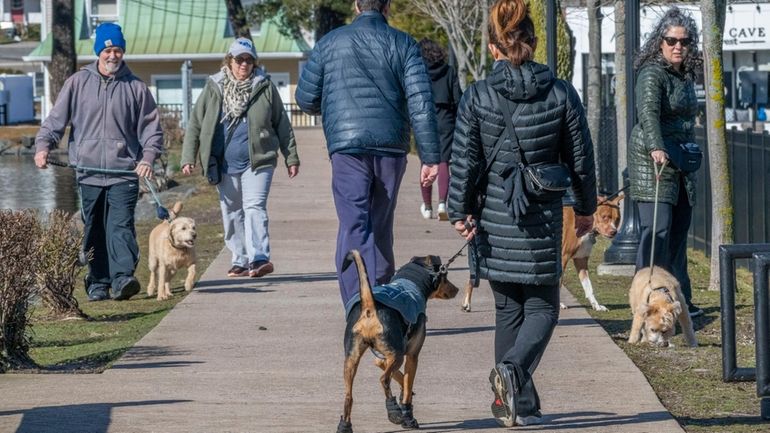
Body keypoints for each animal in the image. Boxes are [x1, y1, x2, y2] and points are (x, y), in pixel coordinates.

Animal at [334, 250, 456, 432]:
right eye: (445, 277)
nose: (456, 289)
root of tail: (369, 308)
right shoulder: (411, 355)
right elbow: (407, 384)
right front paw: (407, 415)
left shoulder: (383, 357)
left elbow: (399, 377)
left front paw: (403, 391)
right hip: (396, 355)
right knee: (384, 380)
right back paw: (394, 411)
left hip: (351, 359)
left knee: (349, 396)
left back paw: (345, 426)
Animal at [460, 194, 620, 312]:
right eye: (605, 217)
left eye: (617, 219)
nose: (614, 232)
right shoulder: (562, 258)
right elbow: (559, 282)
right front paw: (559, 304)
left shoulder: (581, 260)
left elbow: (588, 287)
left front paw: (596, 305)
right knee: (473, 278)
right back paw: (467, 303)